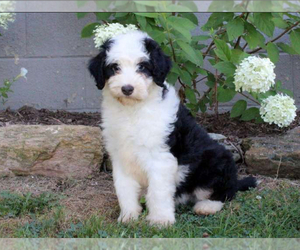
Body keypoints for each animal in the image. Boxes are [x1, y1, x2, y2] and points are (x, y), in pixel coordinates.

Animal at [88, 30, 256, 226]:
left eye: (142, 67)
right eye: (115, 68)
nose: (127, 89)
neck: (133, 110)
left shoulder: (160, 157)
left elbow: (158, 192)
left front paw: (160, 220)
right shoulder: (121, 157)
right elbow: (124, 189)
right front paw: (128, 216)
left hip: (216, 160)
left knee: (226, 192)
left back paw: (207, 206)